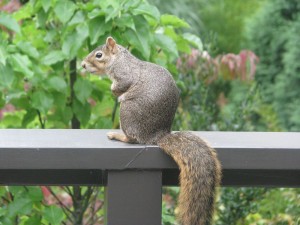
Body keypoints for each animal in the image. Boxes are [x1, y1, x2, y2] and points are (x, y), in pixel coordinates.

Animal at [81, 37, 221, 225]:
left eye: (99, 55)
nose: (82, 64)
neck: (119, 58)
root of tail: (157, 135)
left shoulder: (125, 74)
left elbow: (121, 85)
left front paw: (114, 90)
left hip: (128, 111)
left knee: (133, 139)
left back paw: (118, 135)